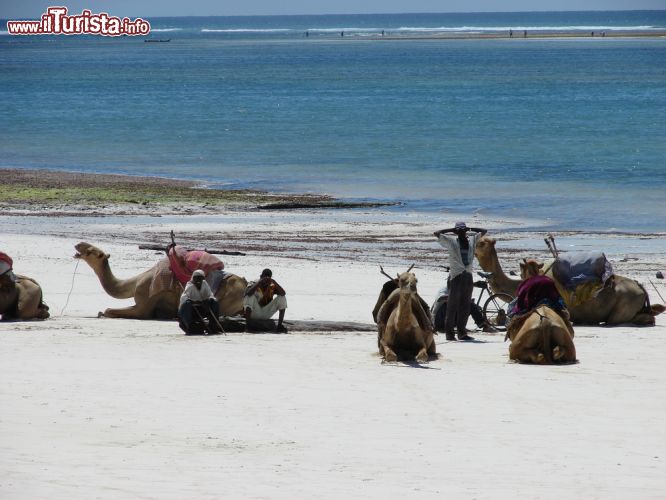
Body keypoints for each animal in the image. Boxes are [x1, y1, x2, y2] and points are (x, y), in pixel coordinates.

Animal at [73, 242, 249, 320]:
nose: (77, 245)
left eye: (90, 251)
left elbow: (109, 310)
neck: (134, 283)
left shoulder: (144, 304)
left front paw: (102, 313)